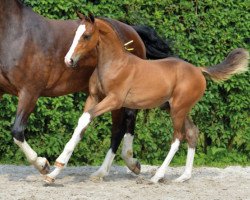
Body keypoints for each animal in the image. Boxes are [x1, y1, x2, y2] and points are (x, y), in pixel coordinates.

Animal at [0, 0, 173, 177]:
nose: (69, 60)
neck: (18, 33)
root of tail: (132, 30)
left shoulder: (29, 92)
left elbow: (17, 131)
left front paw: (43, 165)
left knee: (120, 127)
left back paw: (111, 168)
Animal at [46, 13, 249, 183]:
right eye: (75, 34)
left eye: (86, 36)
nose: (68, 60)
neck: (115, 64)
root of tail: (199, 70)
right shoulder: (94, 98)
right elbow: (82, 124)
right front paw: (53, 173)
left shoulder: (114, 101)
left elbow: (87, 120)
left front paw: (58, 163)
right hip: (176, 108)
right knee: (192, 132)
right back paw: (184, 176)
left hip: (178, 110)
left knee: (177, 138)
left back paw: (158, 176)